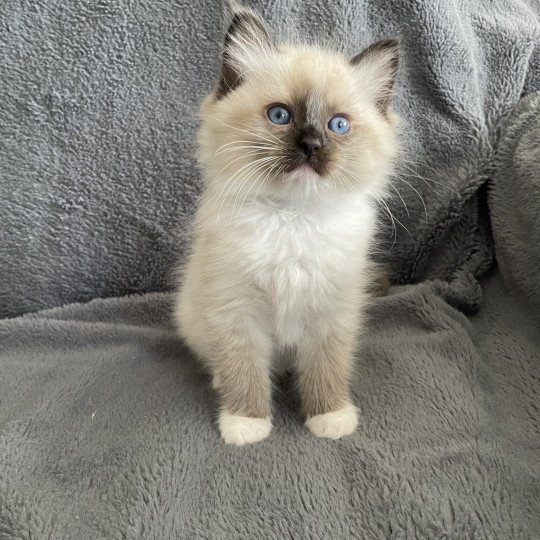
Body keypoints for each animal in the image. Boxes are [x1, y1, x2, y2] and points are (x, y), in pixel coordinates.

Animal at [175, 6, 398, 446]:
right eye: (280, 116)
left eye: (338, 125)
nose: (311, 145)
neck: (292, 217)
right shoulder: (235, 310)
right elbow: (243, 370)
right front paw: (246, 424)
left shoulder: (332, 311)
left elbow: (327, 369)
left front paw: (329, 417)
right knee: (223, 364)